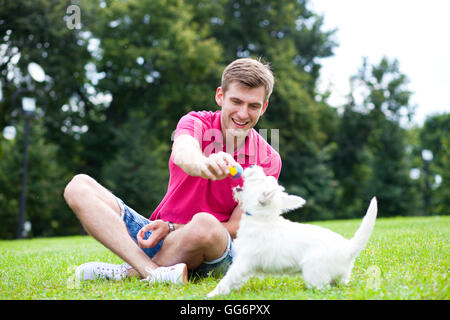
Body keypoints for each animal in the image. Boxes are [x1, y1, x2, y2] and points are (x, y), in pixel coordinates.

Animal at [207, 165, 376, 298]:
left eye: (259, 180)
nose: (253, 166)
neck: (261, 217)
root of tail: (348, 248)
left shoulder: (243, 262)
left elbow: (228, 278)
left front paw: (213, 294)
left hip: (314, 272)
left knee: (323, 288)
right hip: (339, 276)